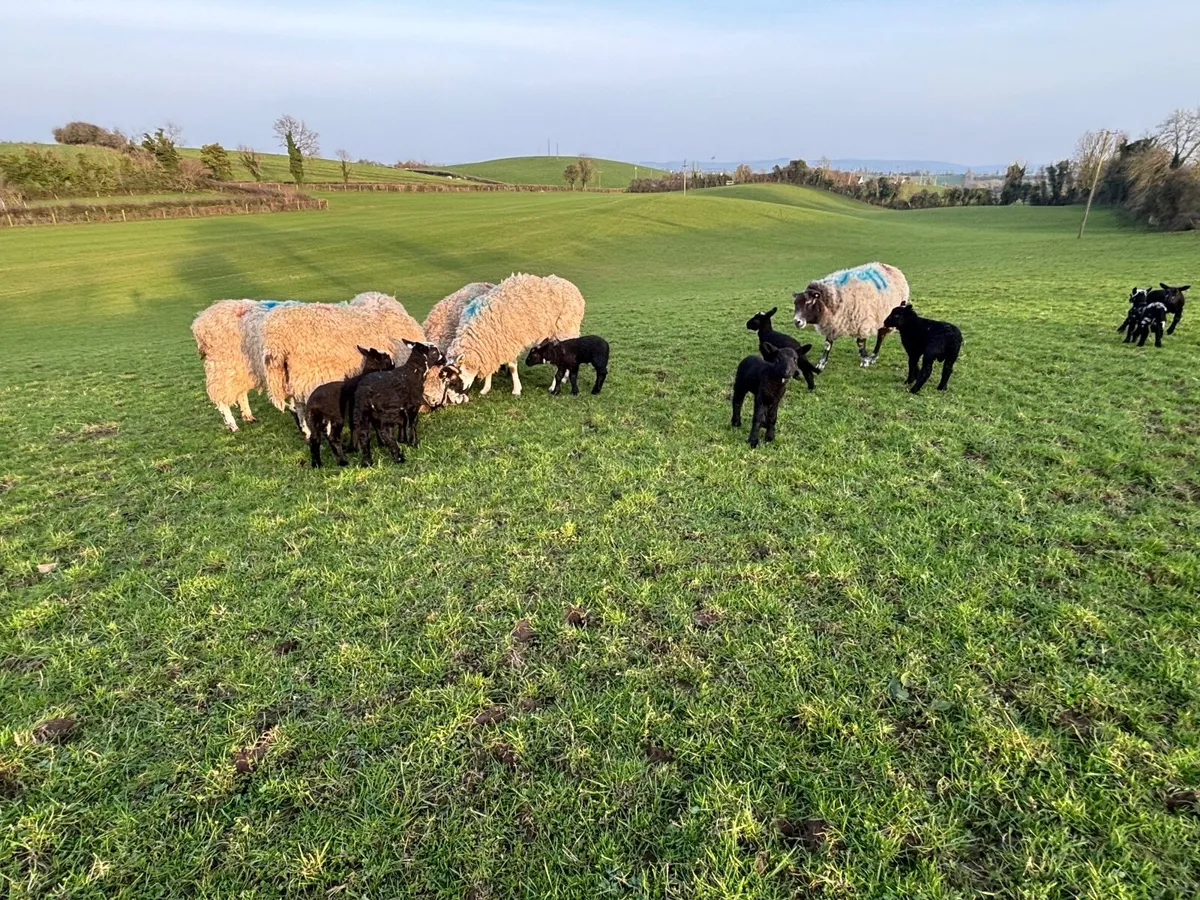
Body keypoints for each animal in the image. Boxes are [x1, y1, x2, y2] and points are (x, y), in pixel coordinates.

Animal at [191, 298, 299, 431]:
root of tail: (200, 320)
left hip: (241, 367)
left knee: (240, 391)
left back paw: (248, 416)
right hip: (223, 365)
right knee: (221, 396)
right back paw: (232, 424)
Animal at [446, 273, 586, 396]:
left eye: (454, 379)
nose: (454, 397)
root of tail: (572, 287)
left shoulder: (509, 342)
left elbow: (512, 367)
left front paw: (516, 390)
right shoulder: (493, 346)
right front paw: (485, 389)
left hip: (564, 329)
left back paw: (553, 386)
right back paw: (564, 378)